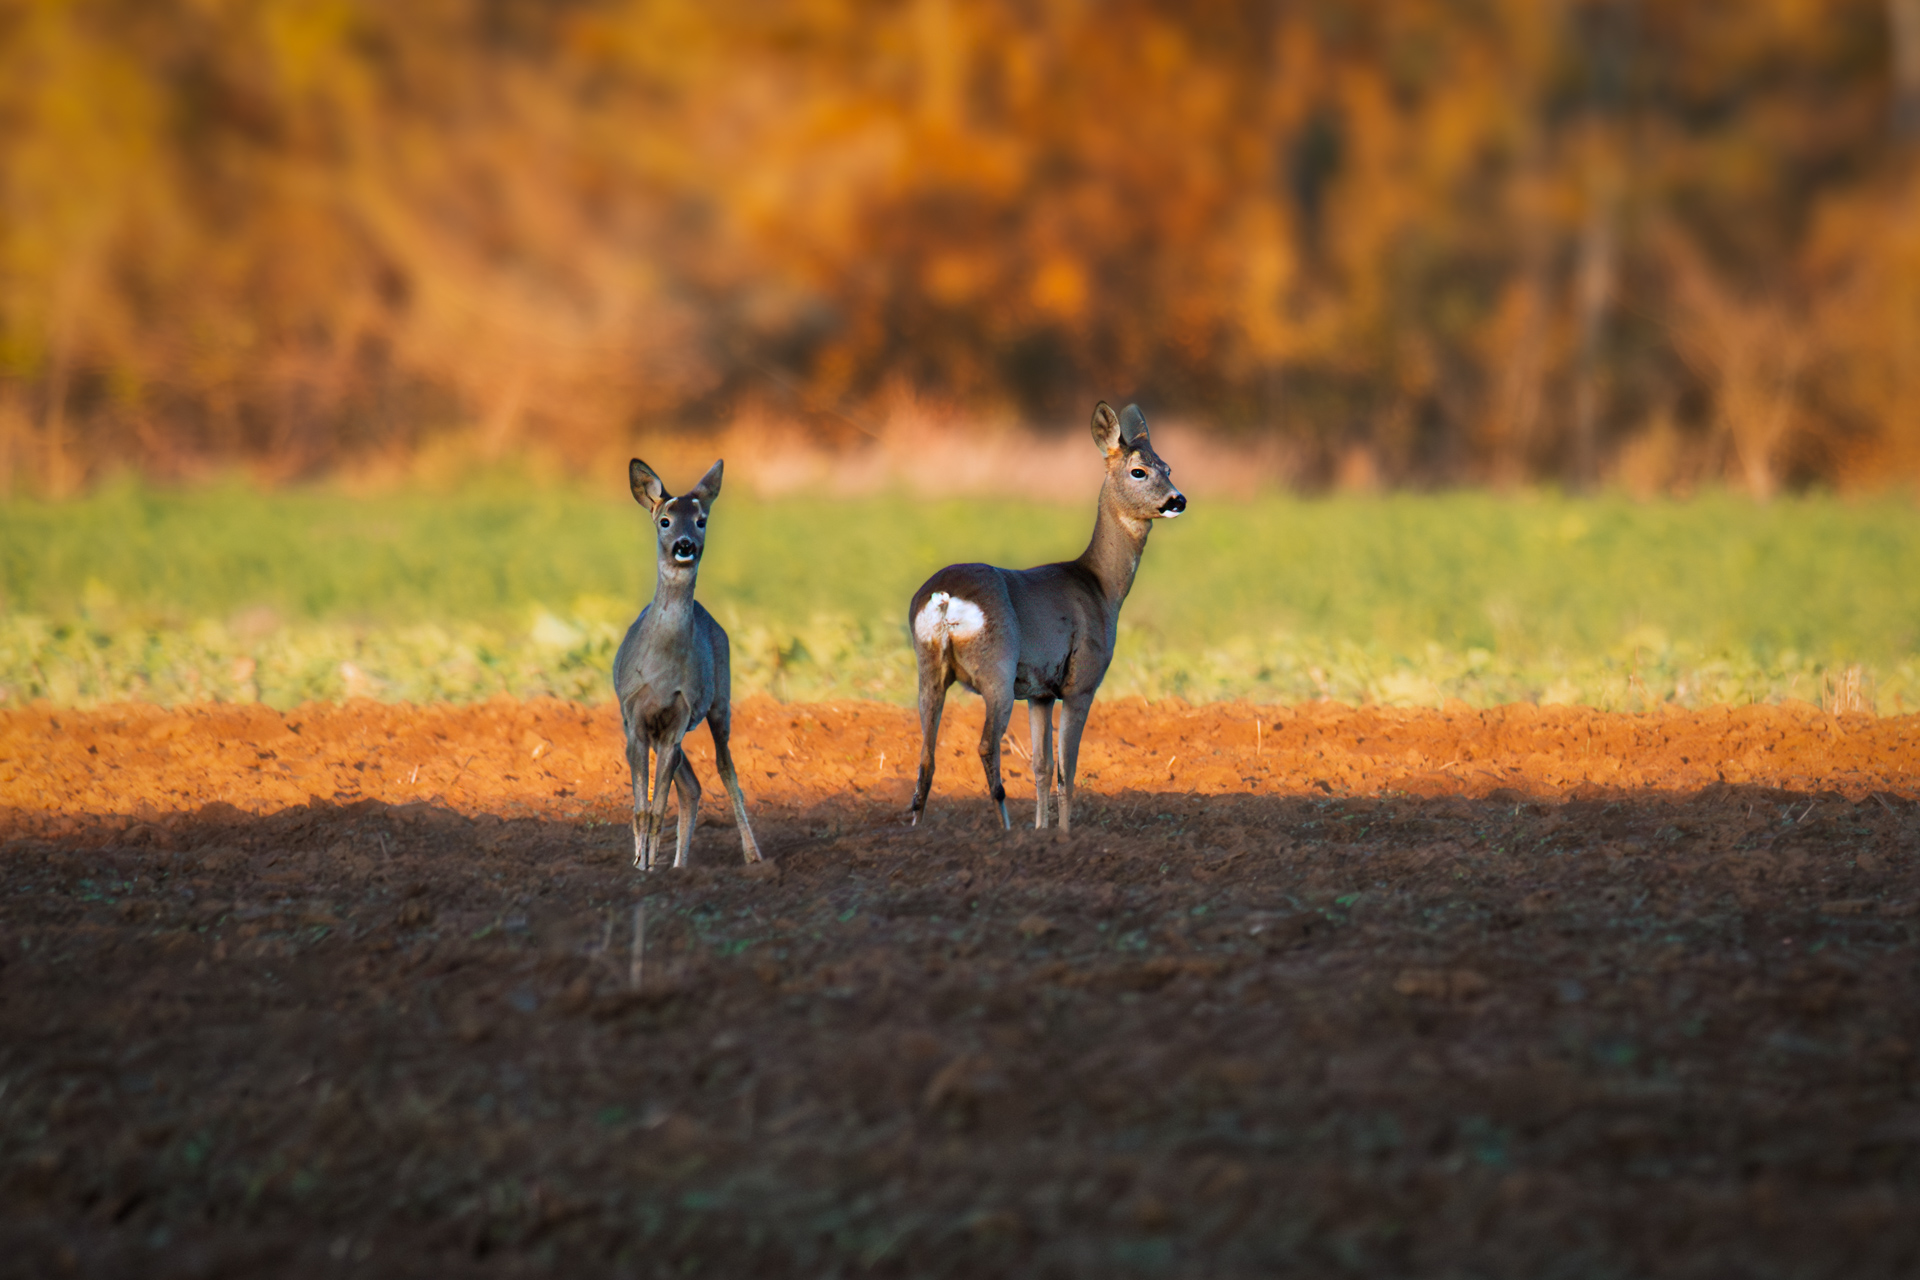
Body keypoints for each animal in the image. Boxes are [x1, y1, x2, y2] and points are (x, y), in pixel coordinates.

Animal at [613, 458, 763, 871]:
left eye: (701, 520)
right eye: (665, 520)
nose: (685, 546)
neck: (661, 674)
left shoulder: (677, 718)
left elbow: (656, 809)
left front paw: (648, 867)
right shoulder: (635, 720)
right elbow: (642, 810)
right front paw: (640, 866)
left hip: (719, 702)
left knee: (726, 771)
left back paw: (752, 856)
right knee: (692, 787)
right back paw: (678, 866)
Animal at [907, 401, 1186, 832]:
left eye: (1167, 467)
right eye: (1139, 470)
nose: (1178, 500)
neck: (1101, 587)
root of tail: (945, 598)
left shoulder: (1039, 692)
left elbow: (1040, 766)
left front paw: (1042, 831)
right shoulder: (1081, 682)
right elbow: (1066, 769)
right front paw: (1064, 835)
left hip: (929, 668)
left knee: (926, 755)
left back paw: (917, 829)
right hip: (997, 667)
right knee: (986, 745)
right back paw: (1006, 829)